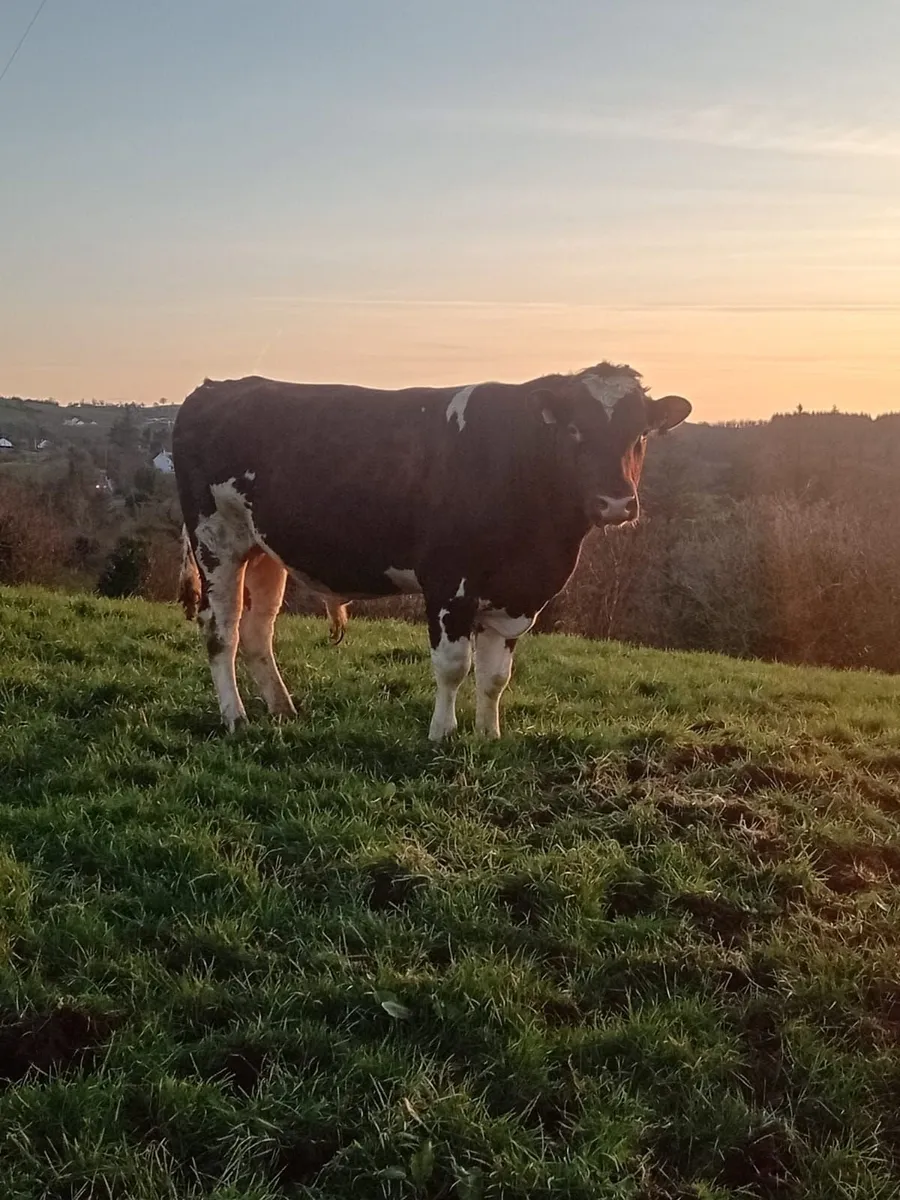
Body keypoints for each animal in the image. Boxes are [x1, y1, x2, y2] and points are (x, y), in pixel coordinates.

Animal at [172, 363, 691, 739]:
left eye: (641, 434)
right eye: (574, 431)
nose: (616, 503)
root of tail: (214, 388)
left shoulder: (514, 598)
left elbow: (495, 677)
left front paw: (488, 736)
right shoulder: (448, 582)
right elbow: (453, 667)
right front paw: (442, 734)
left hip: (264, 551)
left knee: (258, 632)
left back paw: (283, 710)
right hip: (216, 541)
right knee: (222, 631)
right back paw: (235, 718)